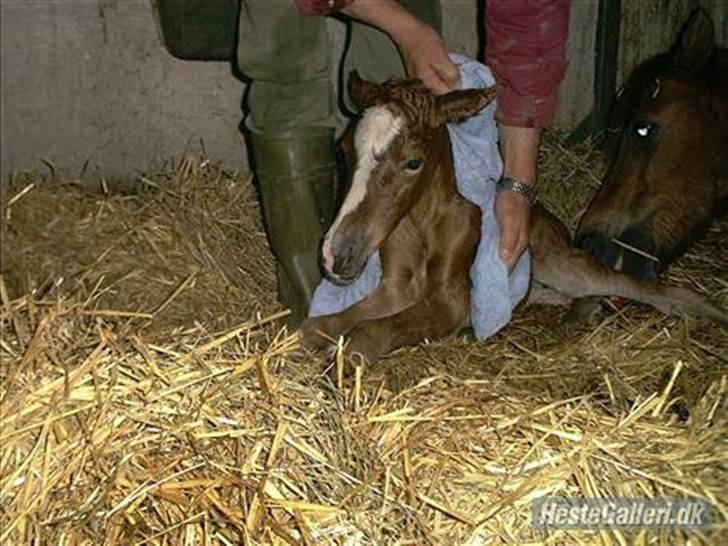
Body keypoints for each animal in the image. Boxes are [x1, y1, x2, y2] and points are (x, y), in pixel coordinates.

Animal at [299, 72, 727, 366]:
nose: (337, 255)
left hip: (564, 264)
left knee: (652, 290)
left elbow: (369, 332)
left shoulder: (452, 301)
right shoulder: (396, 289)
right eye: (343, 150)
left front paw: (343, 366)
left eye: (413, 163)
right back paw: (579, 314)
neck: (422, 221)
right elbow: (320, 326)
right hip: (542, 284)